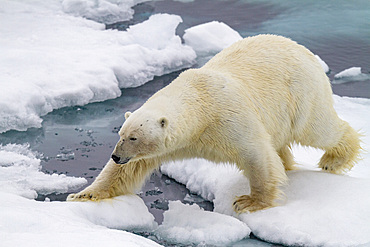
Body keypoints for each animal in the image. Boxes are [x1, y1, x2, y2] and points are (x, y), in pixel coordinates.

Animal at [68, 35, 360, 214]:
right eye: (121, 133)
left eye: (134, 138)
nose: (116, 156)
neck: (199, 105)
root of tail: (304, 50)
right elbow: (128, 171)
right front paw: (84, 195)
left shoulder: (228, 117)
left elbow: (256, 155)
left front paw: (249, 202)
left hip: (301, 93)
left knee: (317, 129)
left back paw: (334, 160)